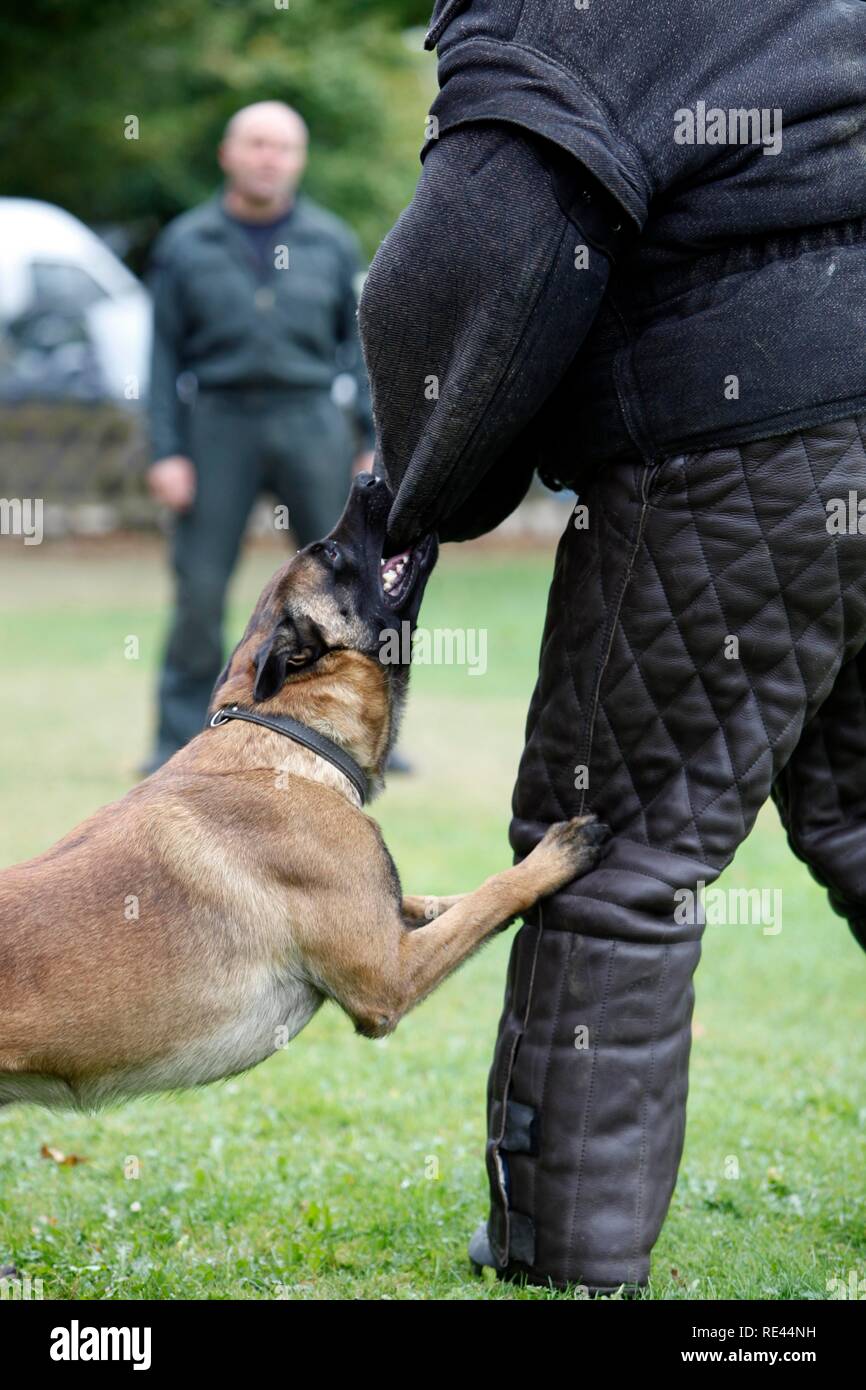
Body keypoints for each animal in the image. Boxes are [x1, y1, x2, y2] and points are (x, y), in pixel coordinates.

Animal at [0, 472, 608, 1112]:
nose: (369, 477)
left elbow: (437, 901)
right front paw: (554, 857)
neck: (290, 736)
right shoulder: (389, 976)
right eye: (332, 554)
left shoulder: (382, 914)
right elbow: (491, 896)